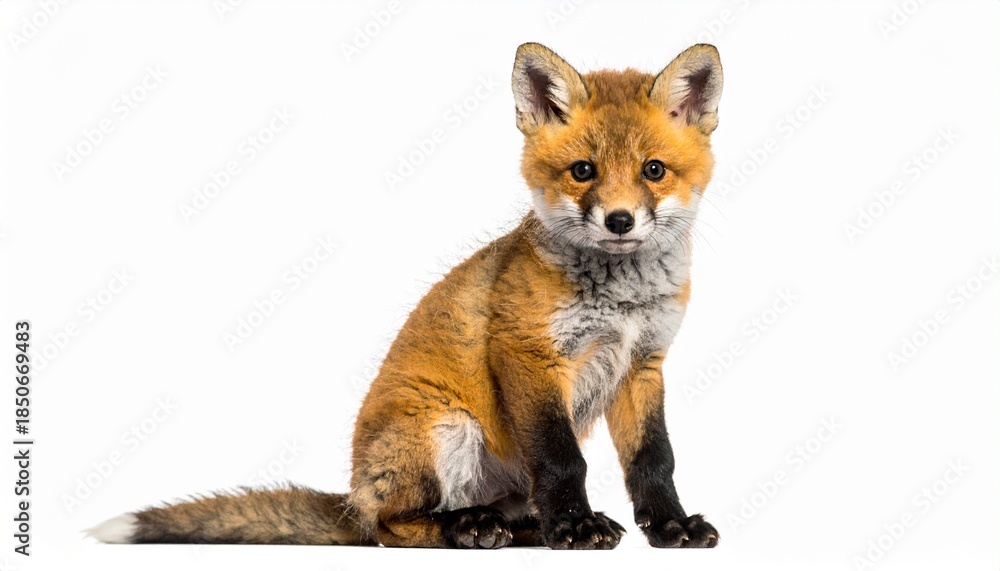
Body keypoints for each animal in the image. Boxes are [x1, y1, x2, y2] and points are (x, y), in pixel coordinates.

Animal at [89, 41, 724, 550]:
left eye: (654, 170)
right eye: (583, 171)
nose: (619, 221)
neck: (621, 303)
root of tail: (352, 496)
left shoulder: (642, 363)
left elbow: (653, 460)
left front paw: (670, 526)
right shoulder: (529, 356)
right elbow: (563, 458)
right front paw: (574, 526)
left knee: (492, 515)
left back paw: (515, 528)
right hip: (447, 428)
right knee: (393, 527)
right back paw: (468, 528)